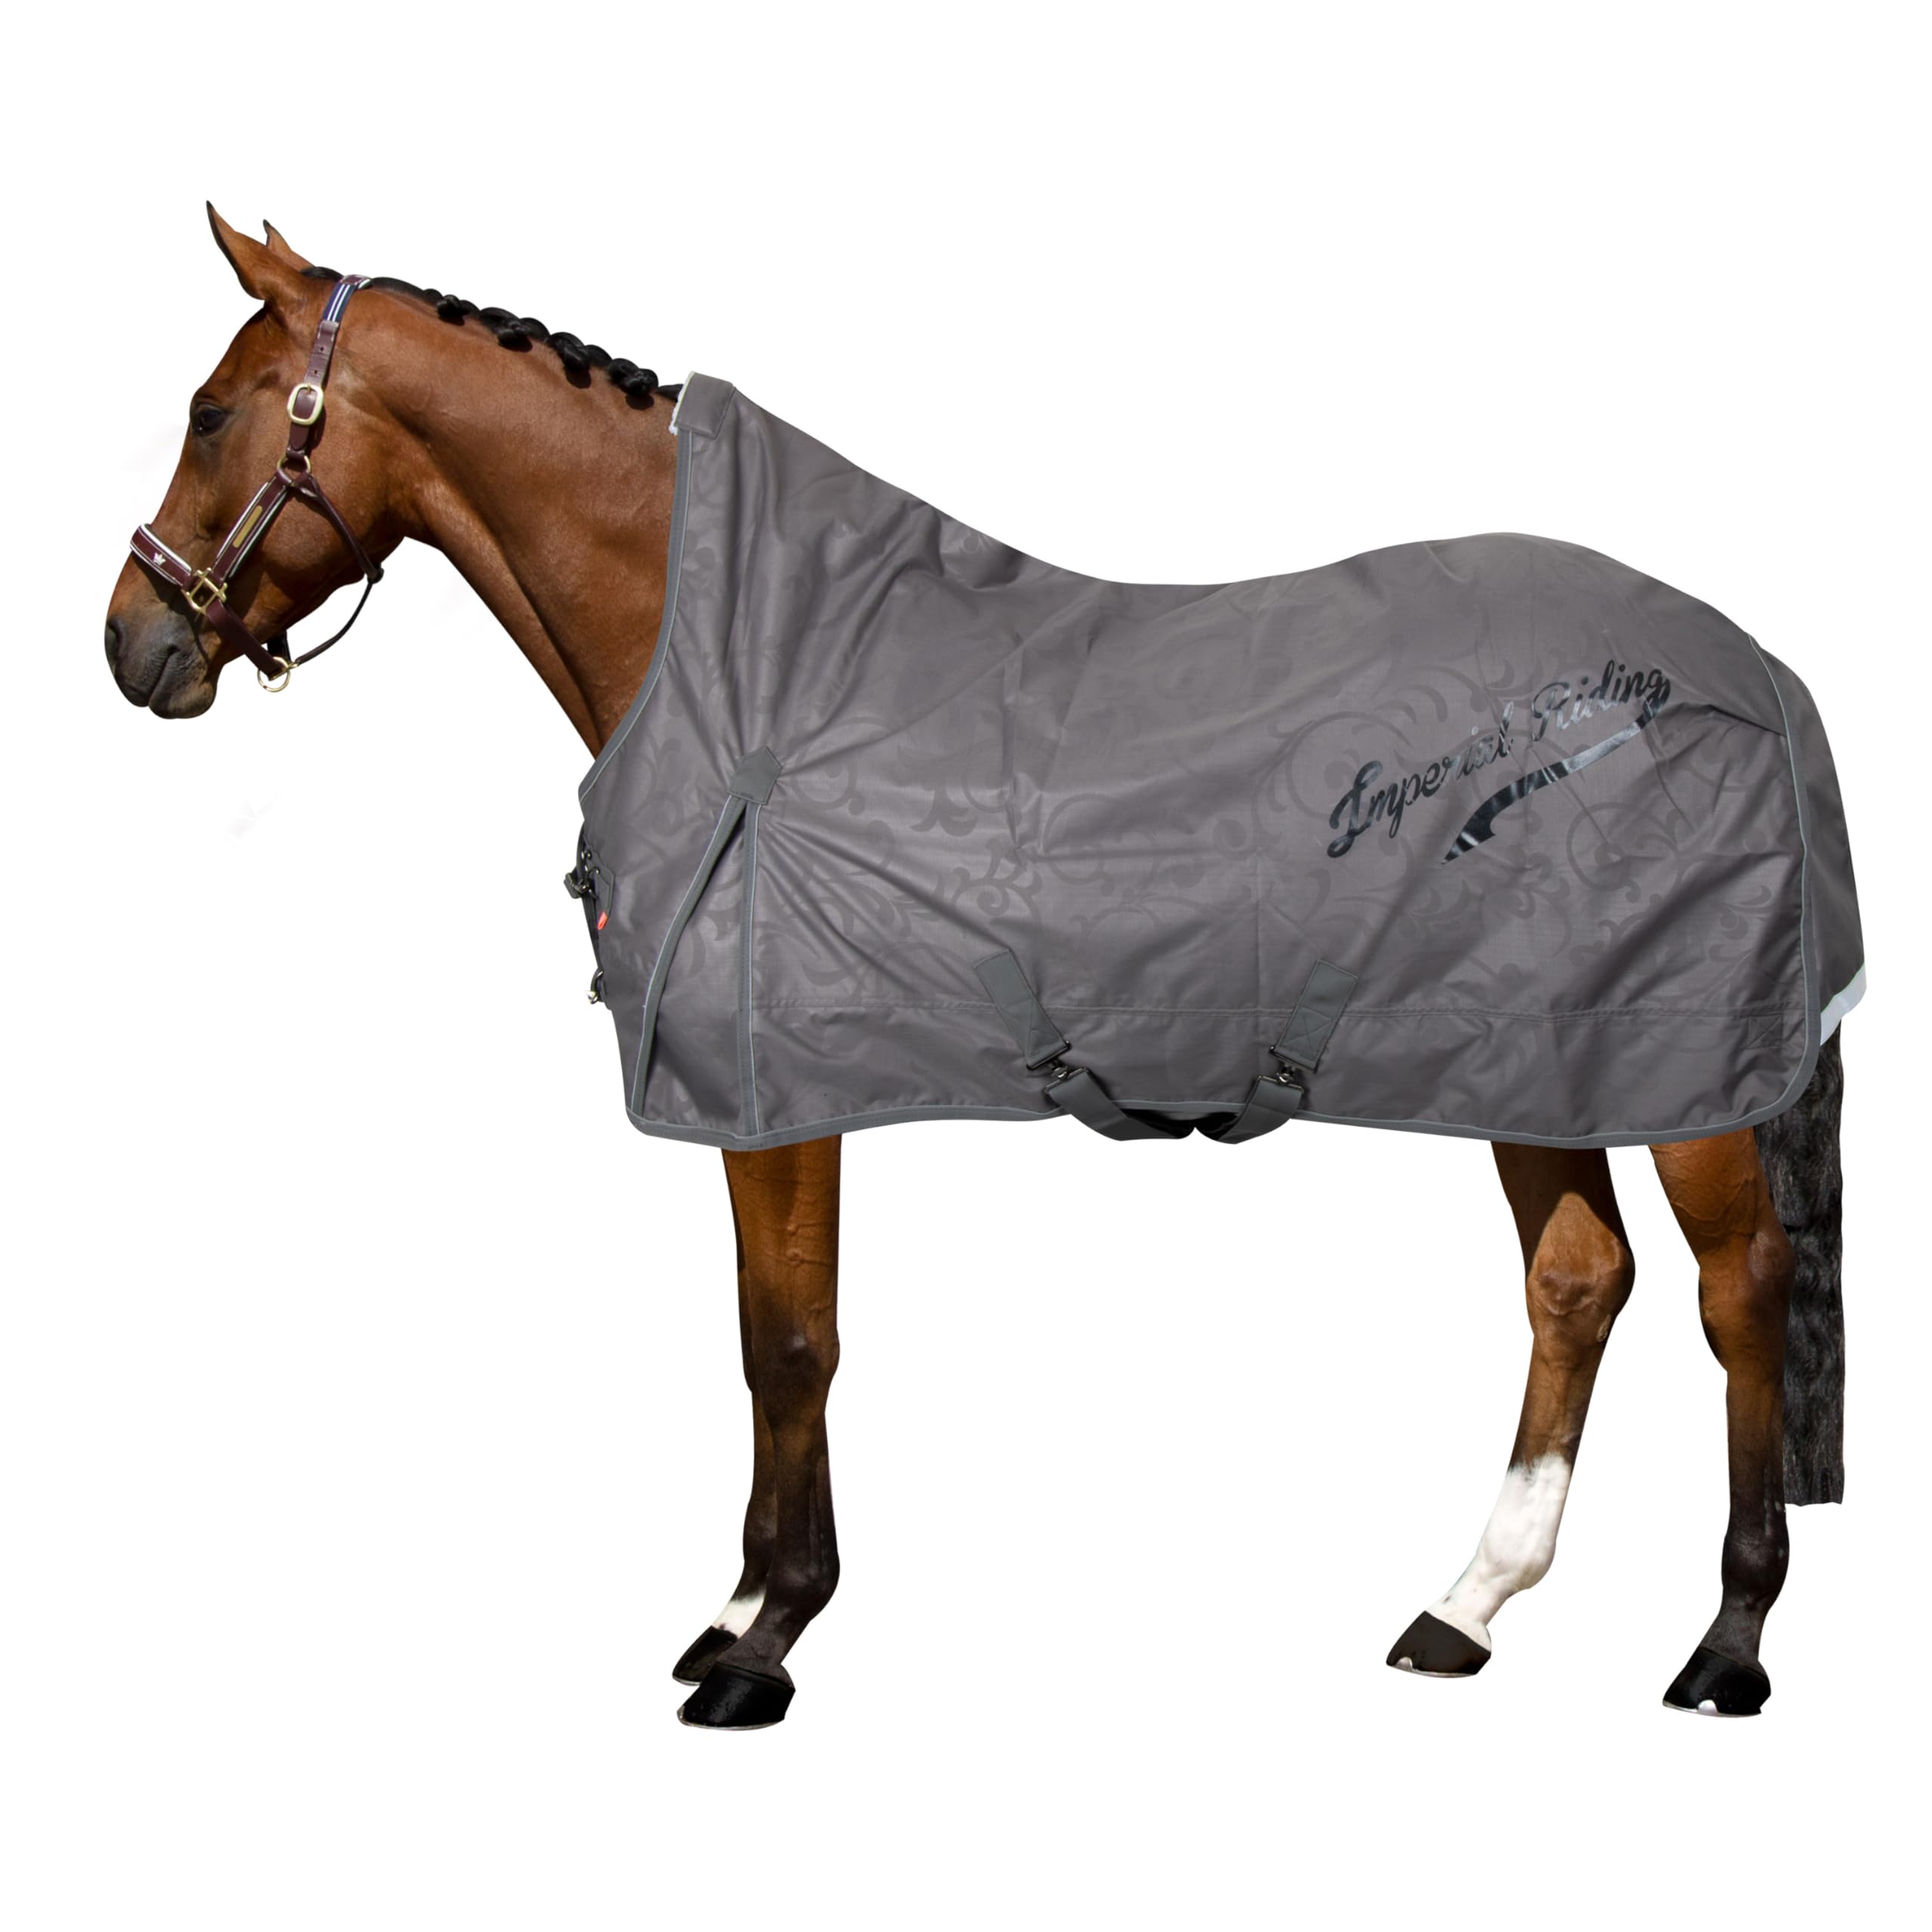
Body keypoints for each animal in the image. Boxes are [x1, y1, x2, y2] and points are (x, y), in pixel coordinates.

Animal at [103, 209, 1853, 1729]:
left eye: (210, 412)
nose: (133, 643)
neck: (749, 676)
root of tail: (1753, 672)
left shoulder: (773, 1092)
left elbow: (791, 1342)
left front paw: (765, 1642)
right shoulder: (765, 1096)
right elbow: (772, 1330)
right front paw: (736, 1614)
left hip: (1678, 1068)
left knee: (1739, 1290)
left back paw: (1727, 1639)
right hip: (1533, 1051)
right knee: (1577, 1281)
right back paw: (1463, 1607)